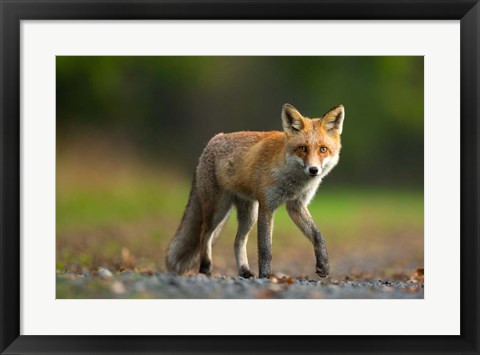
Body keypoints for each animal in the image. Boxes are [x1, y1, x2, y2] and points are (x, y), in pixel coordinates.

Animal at [167, 104, 344, 280]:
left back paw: (244, 270)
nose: (313, 170)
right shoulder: (267, 205)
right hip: (217, 210)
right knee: (204, 233)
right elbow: (265, 249)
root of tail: (212, 141)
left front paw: (324, 265)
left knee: (238, 240)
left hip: (249, 214)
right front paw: (265, 275)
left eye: (323, 149)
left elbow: (317, 236)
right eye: (303, 149)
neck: (292, 180)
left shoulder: (296, 206)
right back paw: (205, 268)